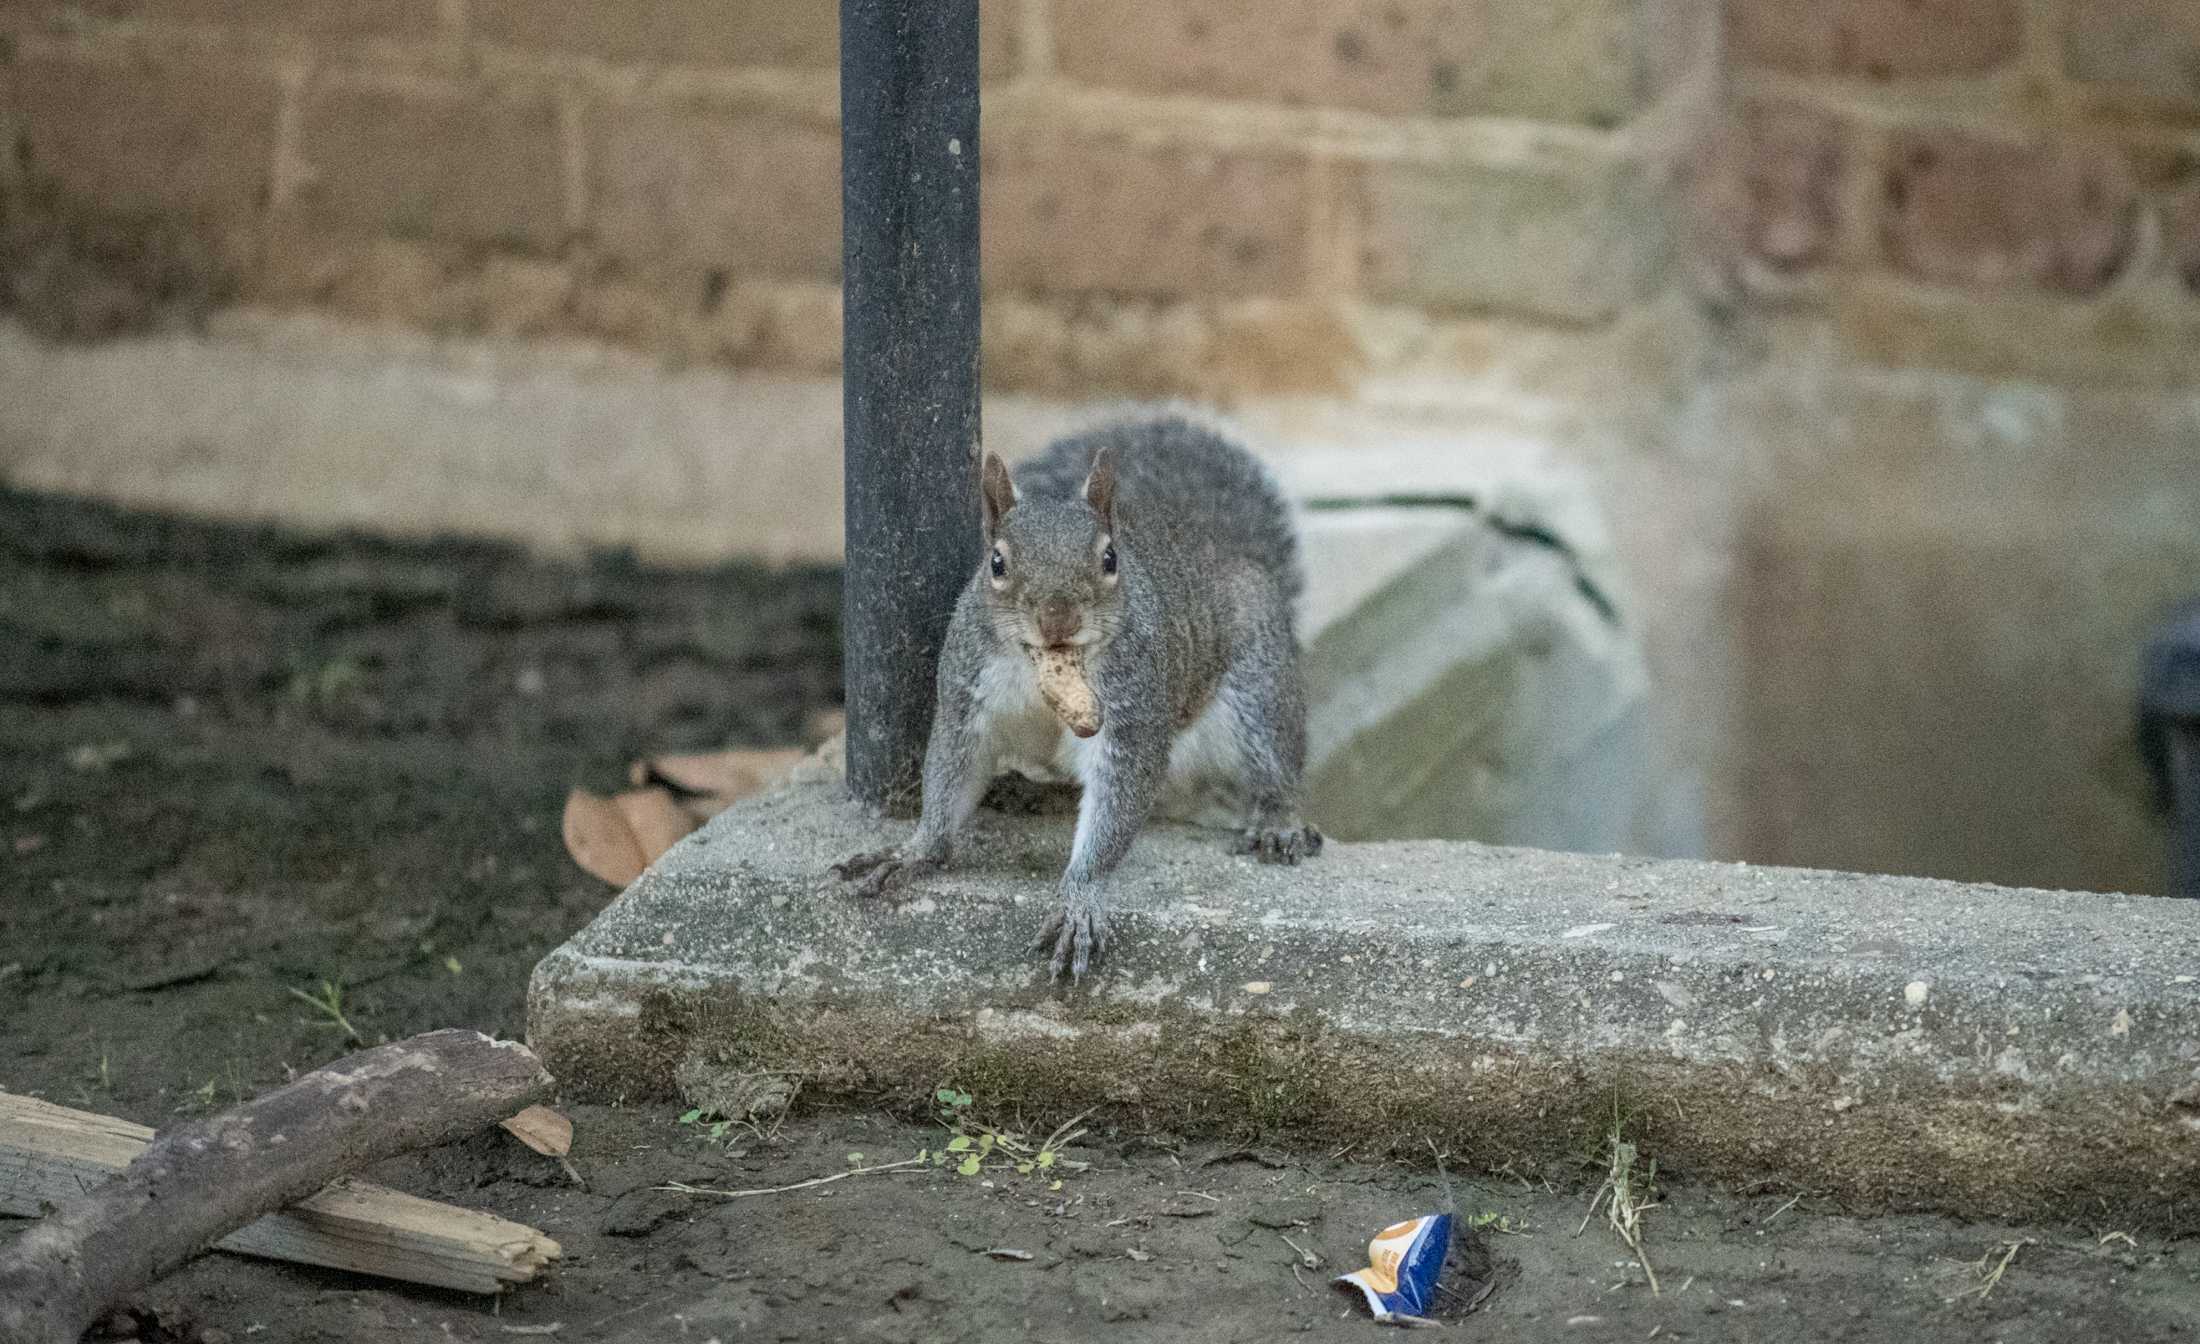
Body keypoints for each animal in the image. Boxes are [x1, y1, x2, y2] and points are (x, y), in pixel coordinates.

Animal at [831, 409, 1320, 976]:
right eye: (996, 563)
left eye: (1109, 559)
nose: (1057, 618)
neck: (1043, 669)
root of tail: (1226, 550)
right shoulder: (965, 705)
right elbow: (948, 782)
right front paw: (914, 852)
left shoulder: (1131, 717)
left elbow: (1115, 805)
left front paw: (1079, 898)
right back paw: (1028, 793)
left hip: (1259, 693)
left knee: (1272, 767)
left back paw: (1279, 822)